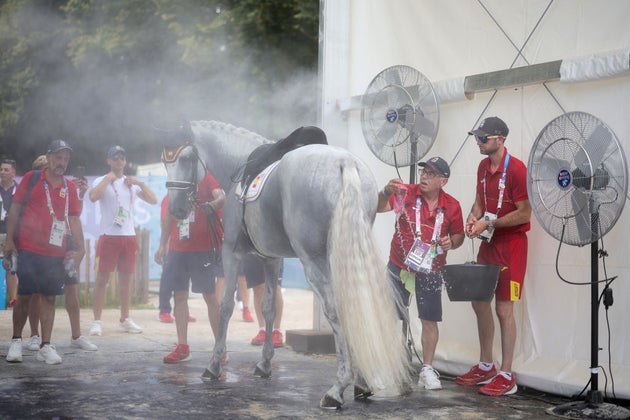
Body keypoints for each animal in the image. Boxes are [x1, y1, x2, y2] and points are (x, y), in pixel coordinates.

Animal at [160, 120, 412, 408]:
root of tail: (345, 163)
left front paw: (214, 365)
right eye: (165, 160)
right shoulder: (271, 258)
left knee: (336, 309)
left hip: (314, 260)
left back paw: (338, 388)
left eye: (187, 158)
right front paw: (264, 364)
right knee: (356, 304)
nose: (177, 209)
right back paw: (361, 383)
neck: (242, 165)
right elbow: (268, 307)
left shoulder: (232, 252)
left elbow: (225, 307)